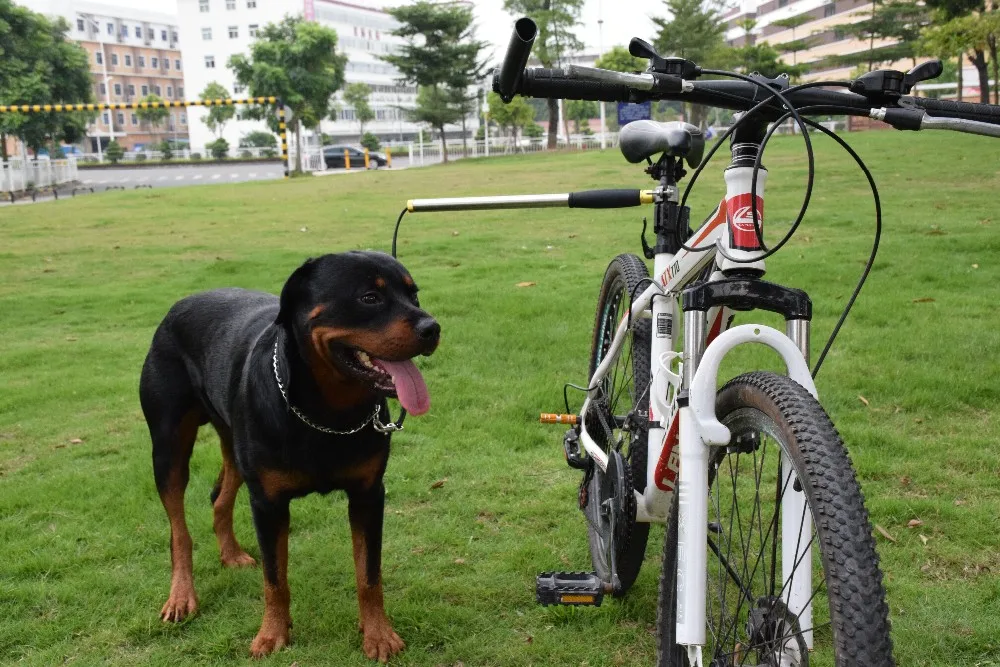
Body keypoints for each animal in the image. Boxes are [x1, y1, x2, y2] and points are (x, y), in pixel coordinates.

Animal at [140, 252, 438, 664]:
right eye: (369, 298)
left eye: (414, 294)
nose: (433, 328)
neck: (327, 413)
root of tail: (177, 306)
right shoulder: (268, 503)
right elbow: (275, 578)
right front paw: (272, 634)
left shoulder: (368, 494)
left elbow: (369, 573)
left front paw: (378, 634)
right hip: (168, 448)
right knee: (178, 530)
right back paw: (182, 595)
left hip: (233, 441)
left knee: (220, 497)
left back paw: (231, 554)